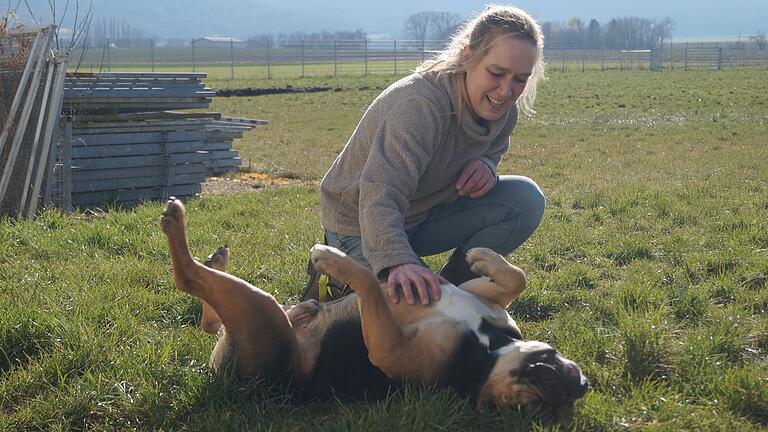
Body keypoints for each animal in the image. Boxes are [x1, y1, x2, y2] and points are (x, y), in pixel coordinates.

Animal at [160, 197, 588, 410]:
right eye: (555, 363)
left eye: (531, 404)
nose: (577, 384)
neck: (487, 350)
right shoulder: (477, 294)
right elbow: (516, 277)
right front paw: (483, 255)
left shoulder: (387, 346)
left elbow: (366, 281)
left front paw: (334, 260)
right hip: (264, 313)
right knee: (210, 317)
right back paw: (215, 256)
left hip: (260, 313)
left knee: (190, 279)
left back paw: (176, 223)